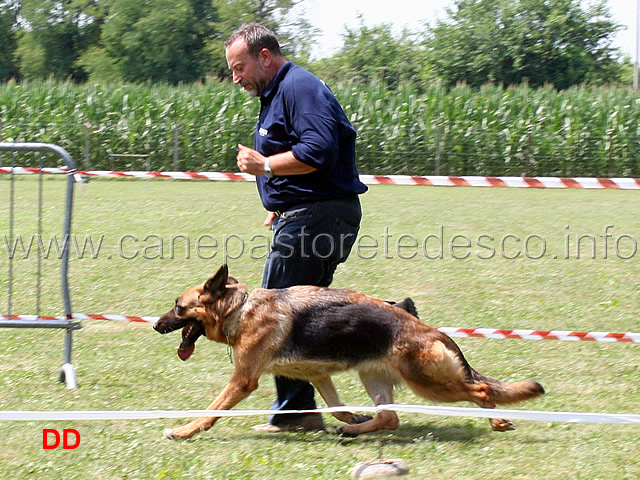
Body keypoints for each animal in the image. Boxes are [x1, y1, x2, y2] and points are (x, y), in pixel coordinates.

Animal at [152, 264, 544, 440]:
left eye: (178, 307)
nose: (155, 325)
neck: (240, 308)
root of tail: (432, 331)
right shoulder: (319, 375)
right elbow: (336, 407)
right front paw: (351, 418)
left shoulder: (243, 380)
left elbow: (212, 409)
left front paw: (185, 430)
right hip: (374, 377)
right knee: (389, 418)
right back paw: (356, 430)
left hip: (426, 382)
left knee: (480, 389)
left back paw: (496, 421)